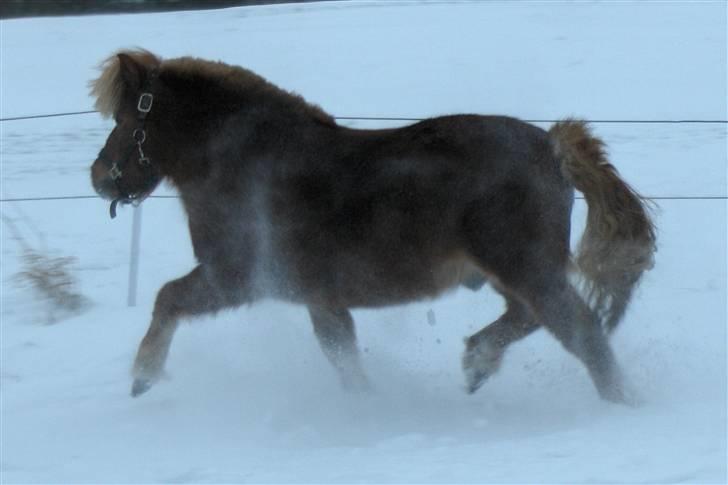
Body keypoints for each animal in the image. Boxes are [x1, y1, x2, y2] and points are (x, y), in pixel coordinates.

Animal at [88, 49, 656, 402]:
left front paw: (143, 375)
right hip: (513, 272)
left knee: (580, 331)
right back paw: (476, 363)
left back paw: (619, 404)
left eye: (124, 121)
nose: (98, 177)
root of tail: (552, 148)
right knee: (530, 318)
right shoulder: (319, 297)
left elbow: (167, 298)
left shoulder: (236, 277)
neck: (244, 160)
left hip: (525, 267)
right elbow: (342, 356)